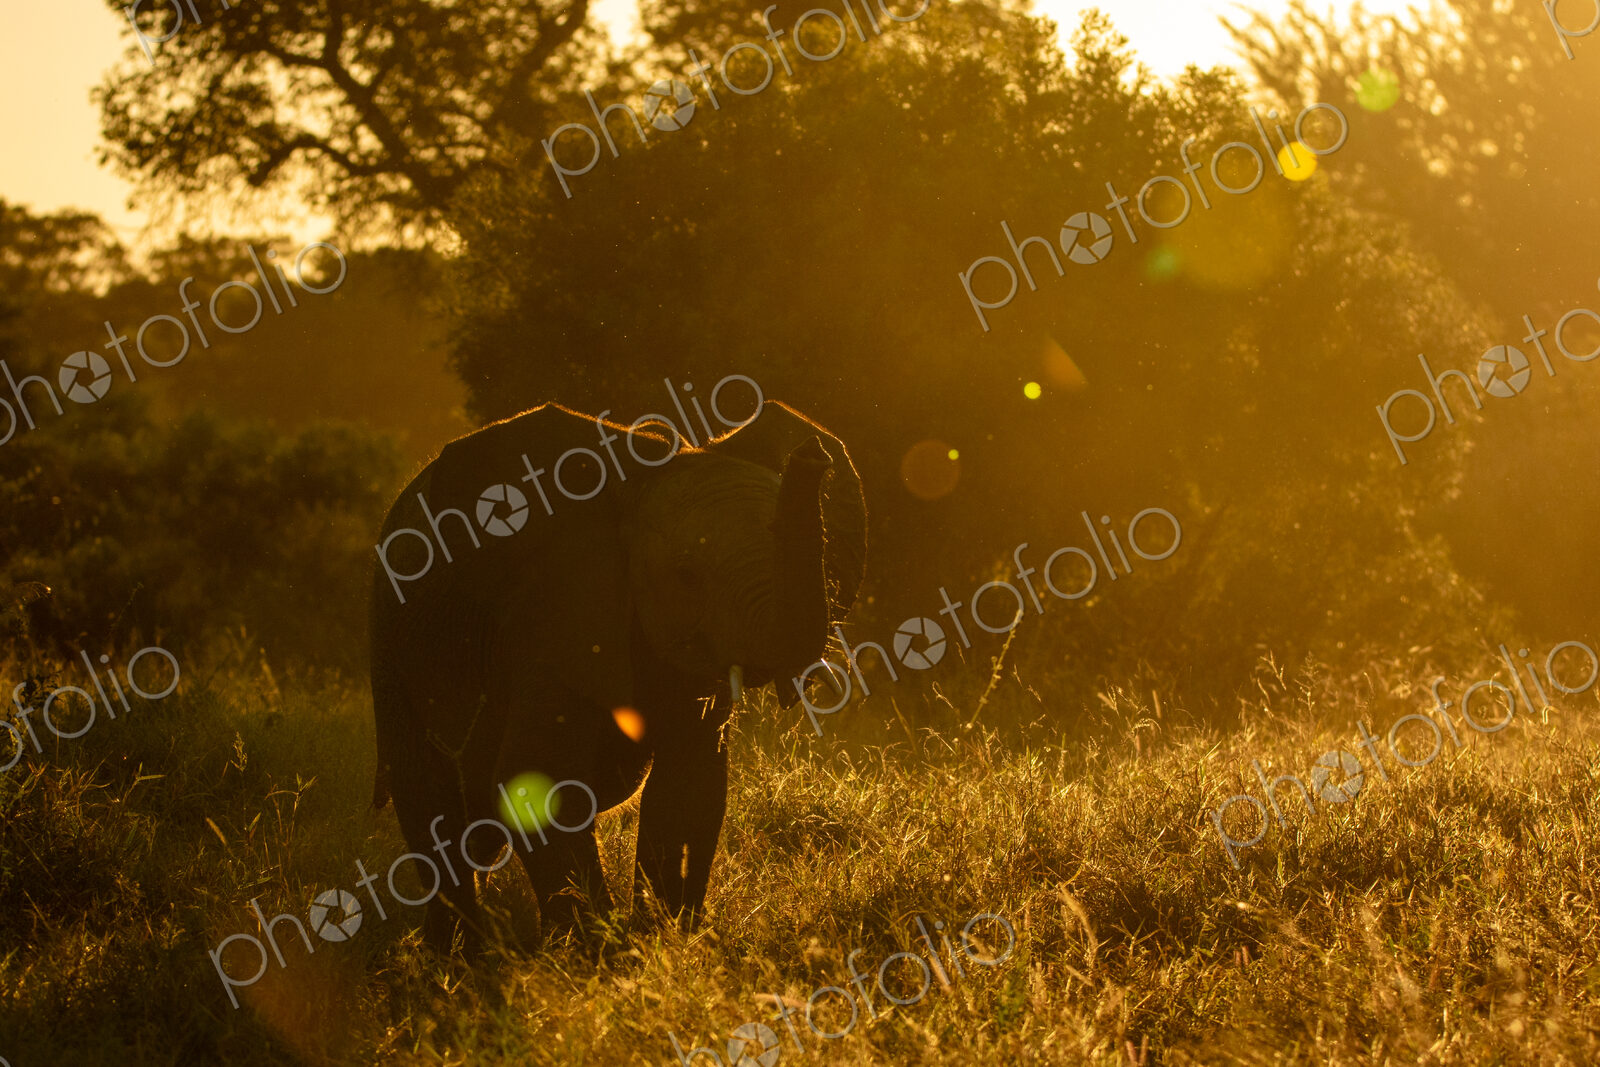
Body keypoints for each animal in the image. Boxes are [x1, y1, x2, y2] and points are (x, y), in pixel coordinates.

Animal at [368, 398, 865, 951]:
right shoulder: (555, 609)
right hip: (388, 635)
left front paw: (667, 938)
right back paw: (456, 956)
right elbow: (537, 775)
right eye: (688, 576)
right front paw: (598, 953)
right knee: (426, 790)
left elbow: (690, 780)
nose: (813, 454)